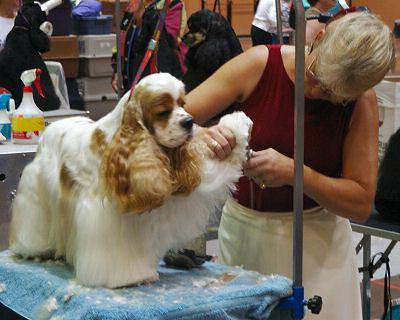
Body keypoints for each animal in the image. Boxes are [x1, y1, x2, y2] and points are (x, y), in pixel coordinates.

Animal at [9, 72, 252, 288]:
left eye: (183, 104)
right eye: (163, 111)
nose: (190, 122)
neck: (126, 144)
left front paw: (237, 124)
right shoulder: (102, 216)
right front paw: (128, 278)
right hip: (36, 195)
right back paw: (34, 248)